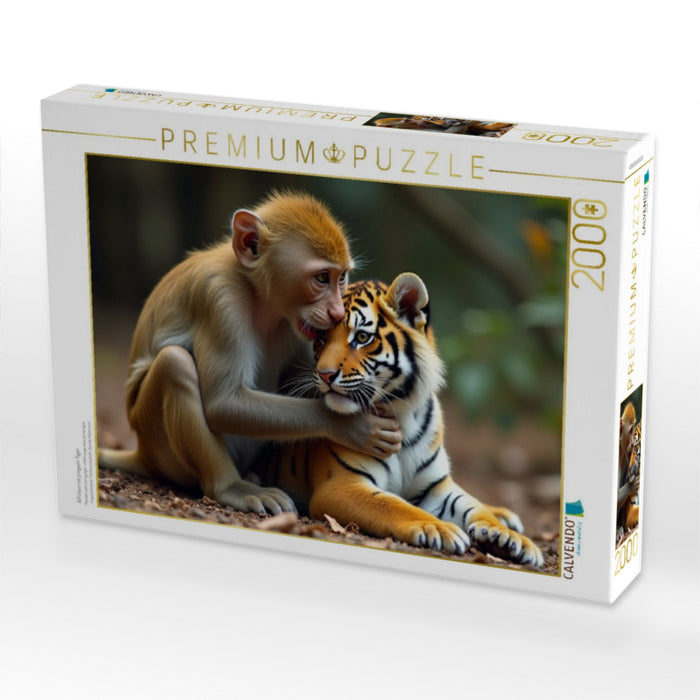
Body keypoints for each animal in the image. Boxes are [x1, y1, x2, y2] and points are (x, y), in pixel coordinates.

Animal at [258, 272, 544, 567]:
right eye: (322, 338)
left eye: (362, 337)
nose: (324, 375)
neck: (401, 413)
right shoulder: (341, 485)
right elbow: (394, 505)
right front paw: (439, 528)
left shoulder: (437, 487)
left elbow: (473, 506)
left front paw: (511, 539)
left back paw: (505, 517)